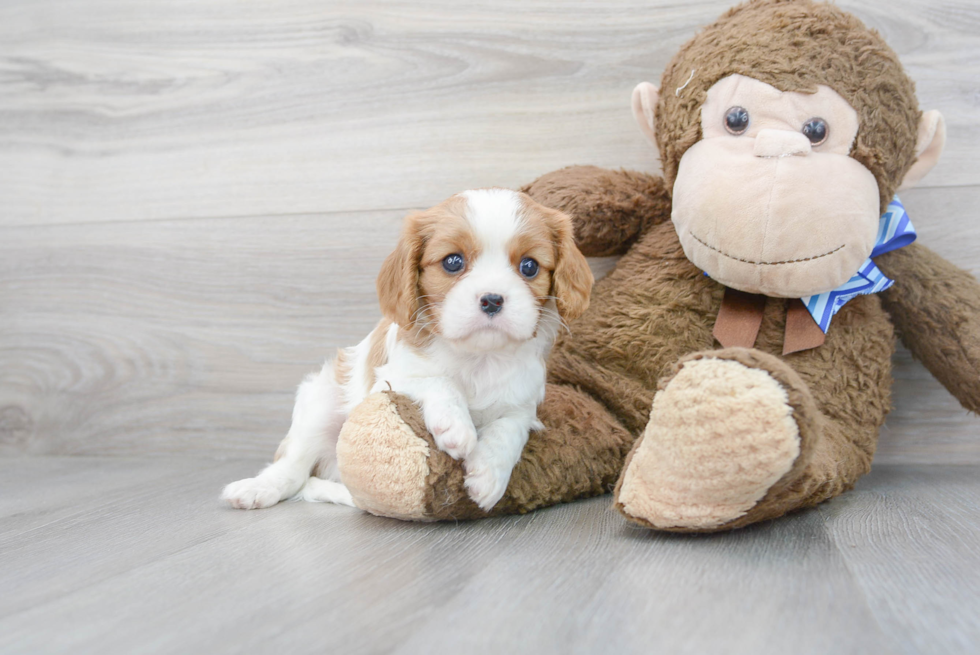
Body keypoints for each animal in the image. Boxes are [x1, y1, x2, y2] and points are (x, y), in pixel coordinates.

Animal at [220, 187, 588, 516]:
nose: (492, 299)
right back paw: (258, 488)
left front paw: (488, 474)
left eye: (529, 267)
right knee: (292, 467)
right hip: (319, 404)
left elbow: (507, 430)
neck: (478, 358)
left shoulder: (522, 404)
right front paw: (456, 426)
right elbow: (438, 381)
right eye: (453, 262)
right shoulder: (391, 377)